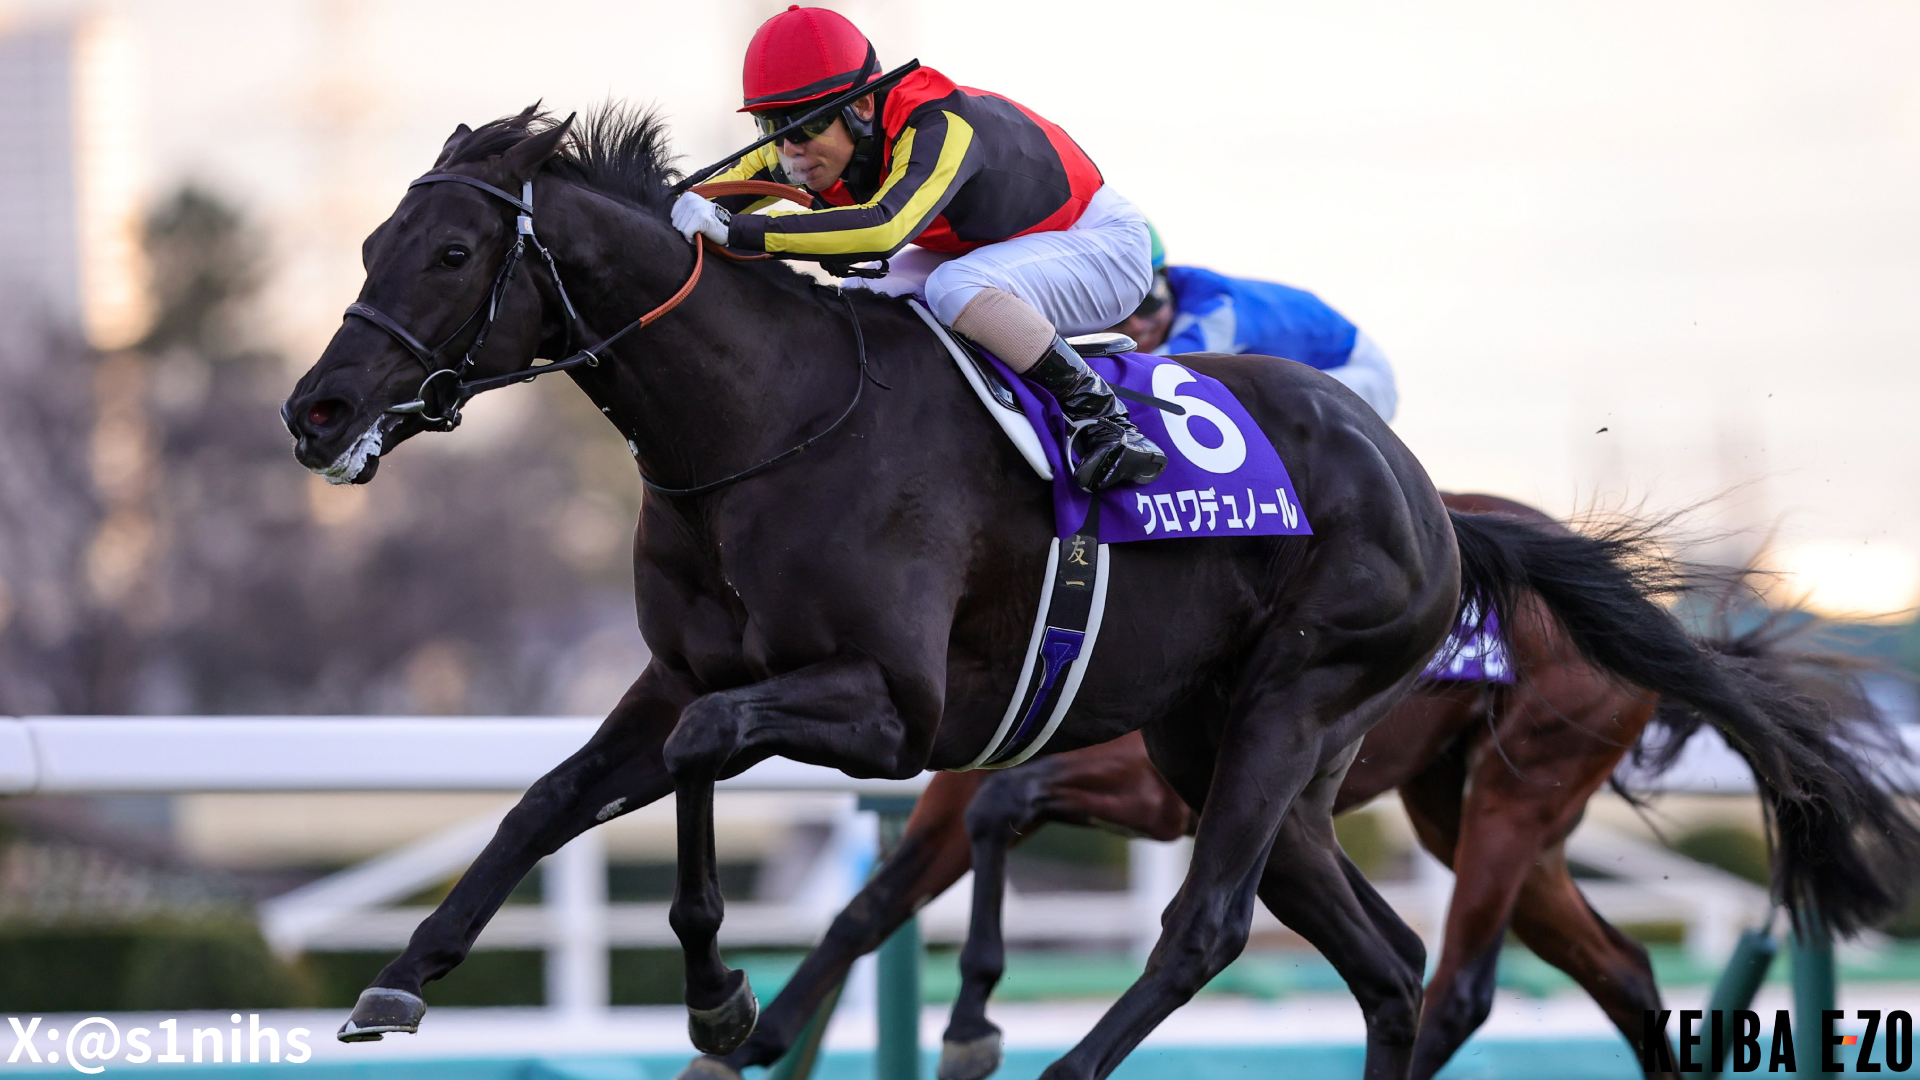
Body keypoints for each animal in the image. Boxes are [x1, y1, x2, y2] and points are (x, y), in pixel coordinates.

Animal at [696, 496, 1920, 1080]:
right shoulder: (969, 779)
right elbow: (873, 903)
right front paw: (765, 1035)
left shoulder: (1157, 788)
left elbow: (1002, 817)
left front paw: (970, 1020)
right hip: (1466, 807)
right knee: (1616, 967)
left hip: (1515, 793)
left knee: (1462, 986)